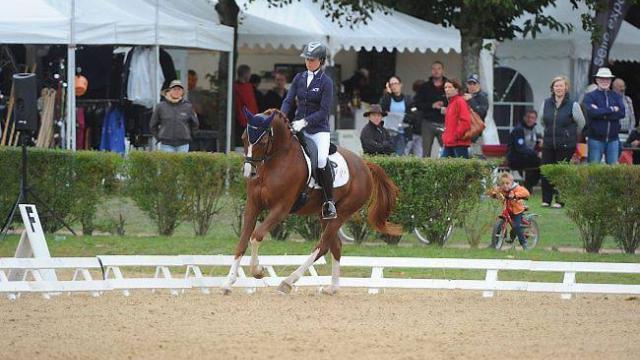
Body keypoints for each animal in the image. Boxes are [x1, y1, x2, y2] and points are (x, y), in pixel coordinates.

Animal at [222, 109, 398, 296]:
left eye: (262, 141)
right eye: (243, 138)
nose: (249, 172)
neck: (275, 161)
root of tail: (364, 164)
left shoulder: (281, 208)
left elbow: (256, 236)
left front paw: (257, 271)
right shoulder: (253, 205)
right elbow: (242, 241)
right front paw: (228, 283)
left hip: (343, 212)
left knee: (322, 246)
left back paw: (288, 282)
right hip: (325, 214)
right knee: (335, 245)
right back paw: (332, 288)